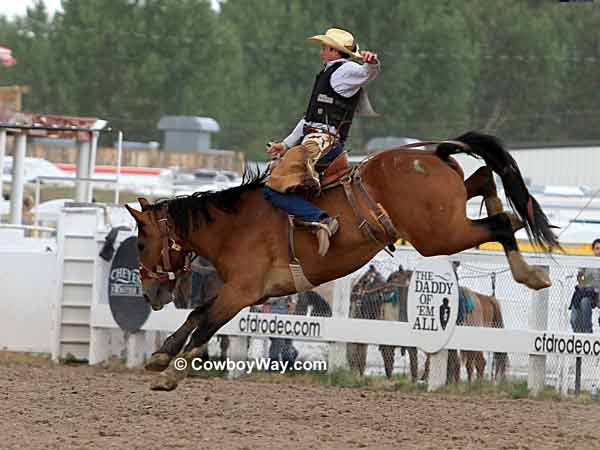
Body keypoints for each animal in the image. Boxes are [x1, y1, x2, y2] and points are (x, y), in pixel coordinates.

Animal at [124, 131, 560, 390]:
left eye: (141, 243)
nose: (149, 293)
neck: (235, 225)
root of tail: (434, 152)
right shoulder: (245, 292)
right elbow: (198, 314)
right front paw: (161, 355)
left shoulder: (242, 291)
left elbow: (206, 323)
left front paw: (172, 372)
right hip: (449, 215)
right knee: (487, 182)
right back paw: (513, 223)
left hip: (439, 235)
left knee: (499, 223)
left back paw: (530, 273)